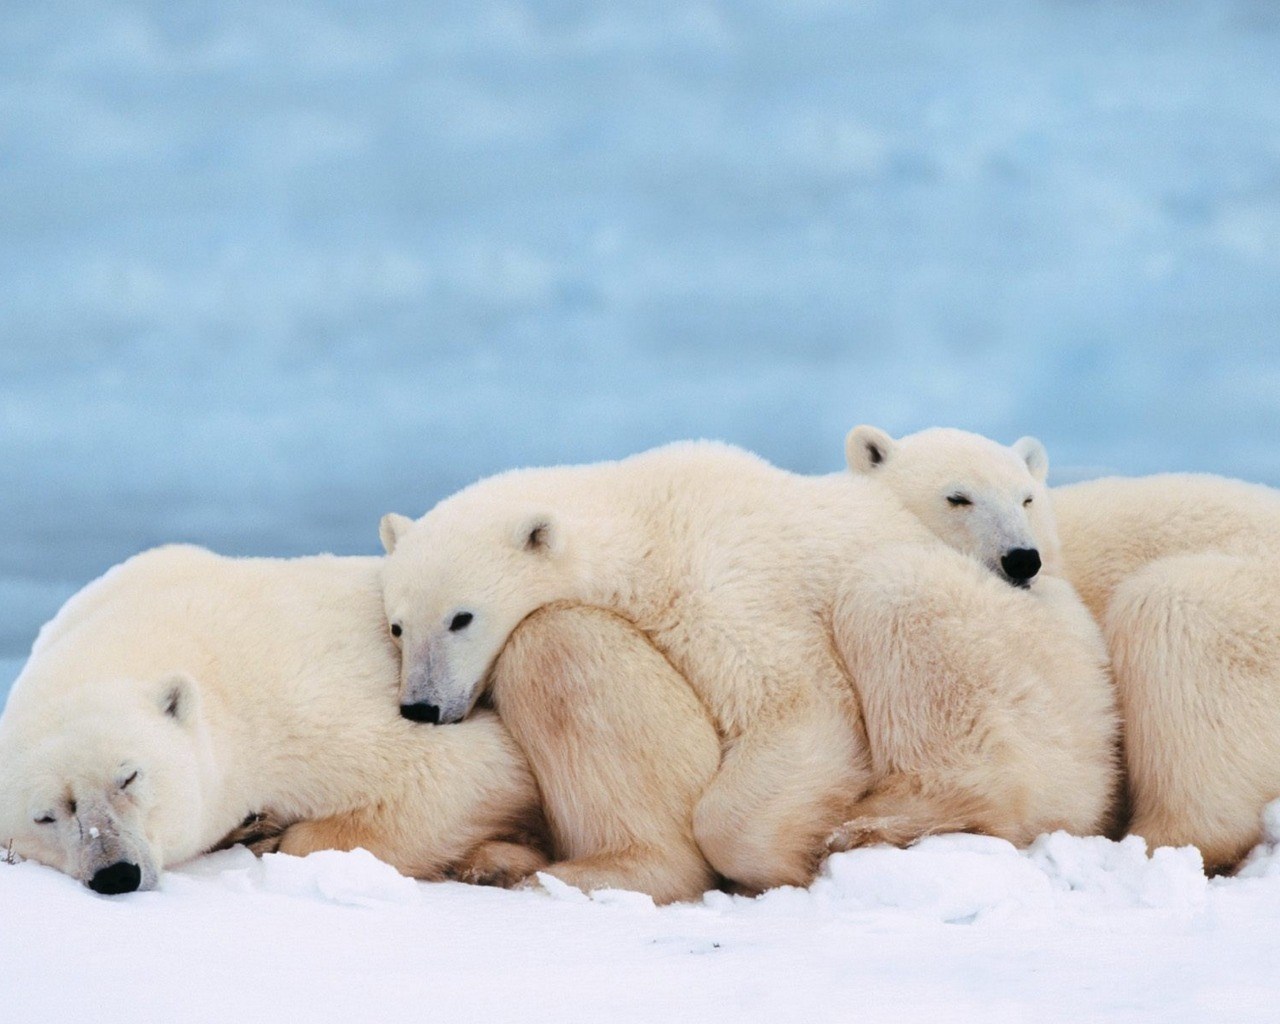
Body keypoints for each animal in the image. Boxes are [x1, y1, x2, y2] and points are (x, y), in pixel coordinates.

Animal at [0, 545, 555, 893]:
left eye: (129, 776)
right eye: (46, 815)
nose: (116, 873)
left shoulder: (305, 705)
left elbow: (469, 767)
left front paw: (270, 833)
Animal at [378, 441, 1119, 892]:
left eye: (461, 617)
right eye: (397, 624)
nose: (421, 707)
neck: (646, 517)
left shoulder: (722, 582)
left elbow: (798, 707)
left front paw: (786, 859)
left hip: (1025, 665)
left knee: (893, 595)